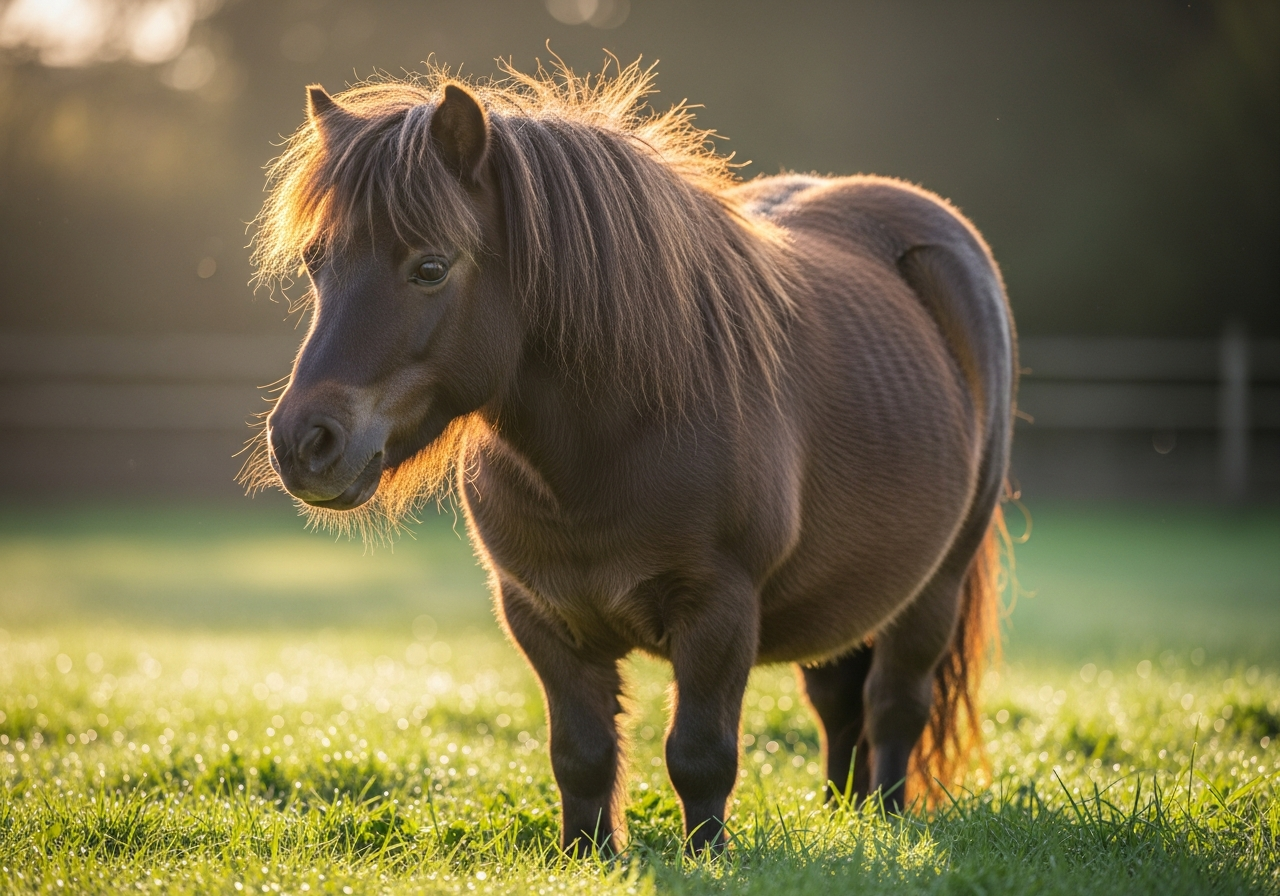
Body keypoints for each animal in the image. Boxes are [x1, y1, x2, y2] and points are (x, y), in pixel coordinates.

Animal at [243, 59, 1017, 856]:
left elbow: (699, 754)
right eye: (315, 263)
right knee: (838, 704)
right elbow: (581, 754)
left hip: (936, 587)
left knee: (895, 705)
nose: (305, 443)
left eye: (429, 267)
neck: (607, 449)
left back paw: (887, 818)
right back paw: (845, 814)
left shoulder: (718, 612)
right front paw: (588, 855)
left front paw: (707, 856)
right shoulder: (541, 615)